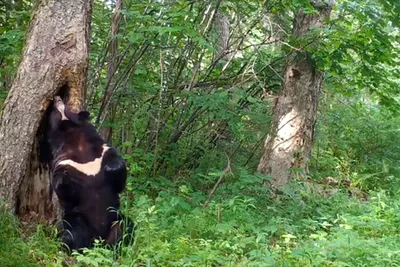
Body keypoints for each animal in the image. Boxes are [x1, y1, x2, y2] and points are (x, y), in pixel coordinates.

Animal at [45, 96, 133, 253]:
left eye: (66, 106)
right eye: (52, 111)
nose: (57, 98)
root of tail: (98, 238)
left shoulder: (103, 151)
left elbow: (119, 181)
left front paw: (113, 167)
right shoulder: (62, 160)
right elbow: (64, 192)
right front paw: (63, 177)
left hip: (115, 216)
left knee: (125, 226)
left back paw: (114, 248)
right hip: (78, 219)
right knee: (71, 234)